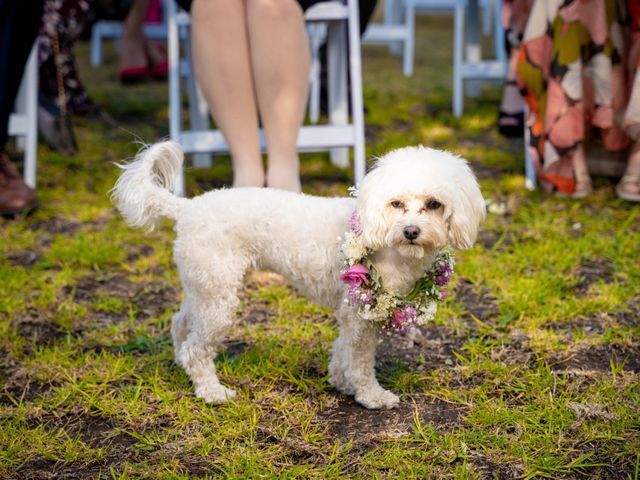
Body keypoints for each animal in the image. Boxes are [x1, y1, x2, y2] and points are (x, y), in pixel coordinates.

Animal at [114, 142, 484, 408]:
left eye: (433, 204)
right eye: (396, 204)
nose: (411, 232)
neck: (381, 237)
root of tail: (186, 207)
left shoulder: (350, 313)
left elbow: (343, 350)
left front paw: (340, 380)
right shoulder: (359, 315)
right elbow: (361, 361)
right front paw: (370, 396)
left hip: (205, 286)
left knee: (180, 323)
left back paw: (181, 362)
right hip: (218, 300)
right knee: (197, 349)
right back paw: (212, 392)